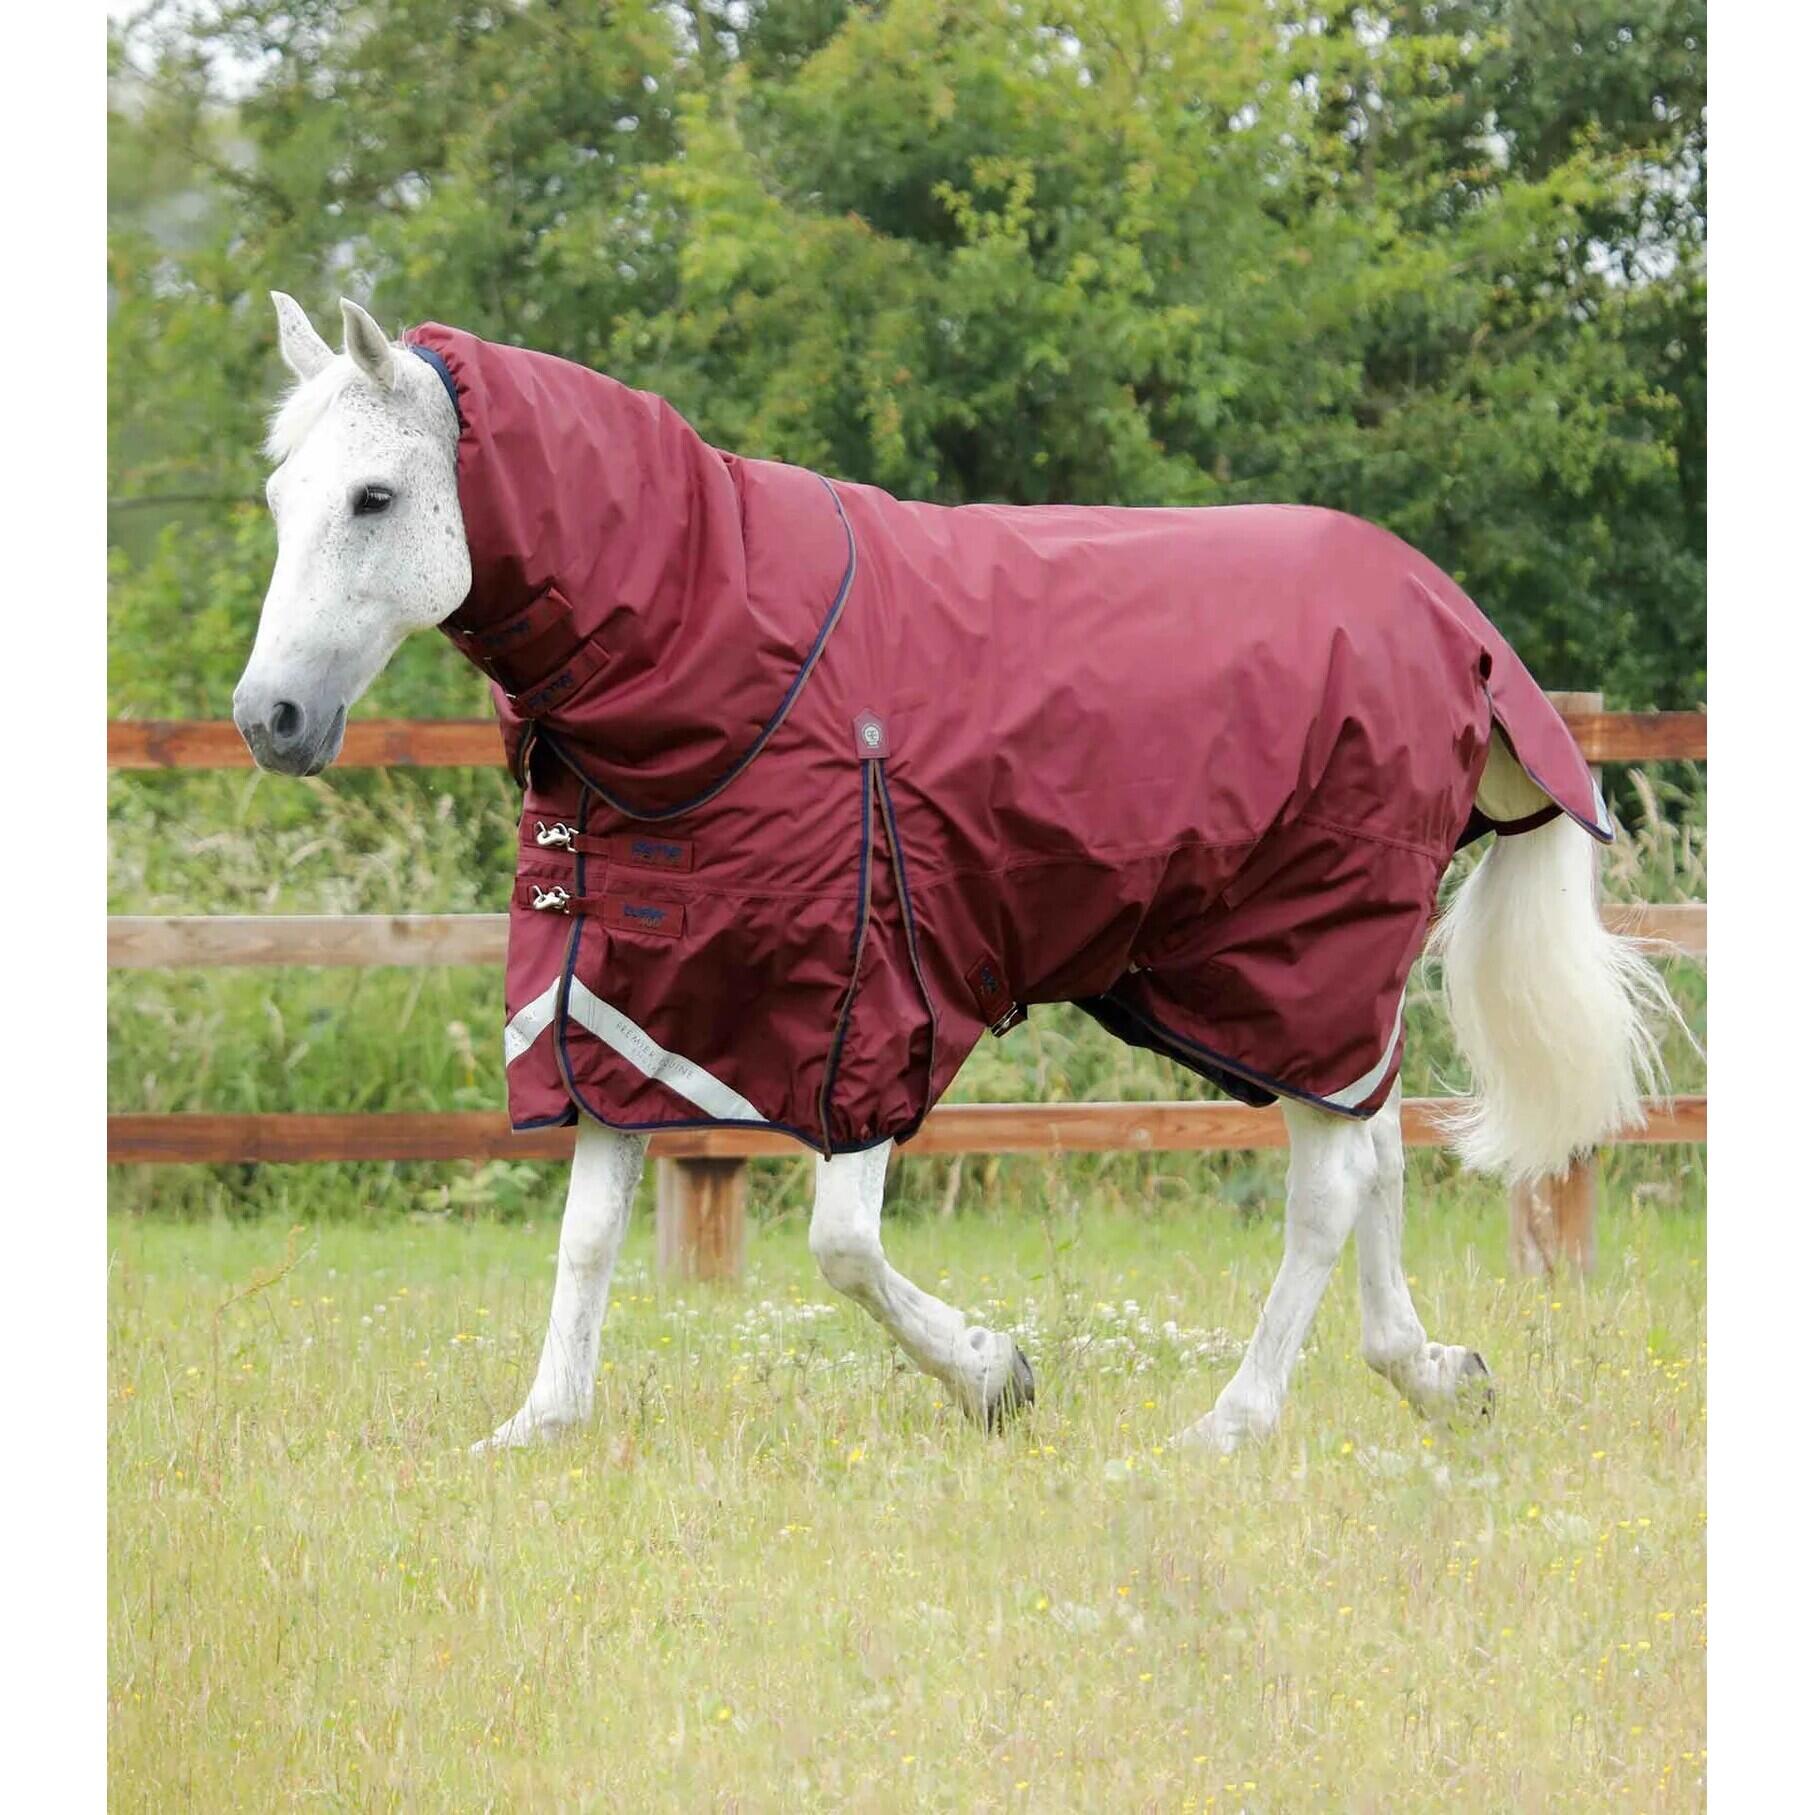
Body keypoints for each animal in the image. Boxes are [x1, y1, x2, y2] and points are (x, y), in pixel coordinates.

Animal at [234, 293, 1677, 1454]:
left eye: (374, 498)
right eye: (279, 503)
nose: (270, 719)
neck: (723, 655)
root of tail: (1458, 624)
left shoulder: (866, 1005)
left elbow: (839, 1246)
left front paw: (994, 1375)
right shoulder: (621, 998)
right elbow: (589, 1229)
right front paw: (541, 1423)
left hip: (1312, 944)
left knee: (1326, 1188)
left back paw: (1233, 1421)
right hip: (1277, 977)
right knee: (1370, 1142)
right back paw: (1432, 1375)